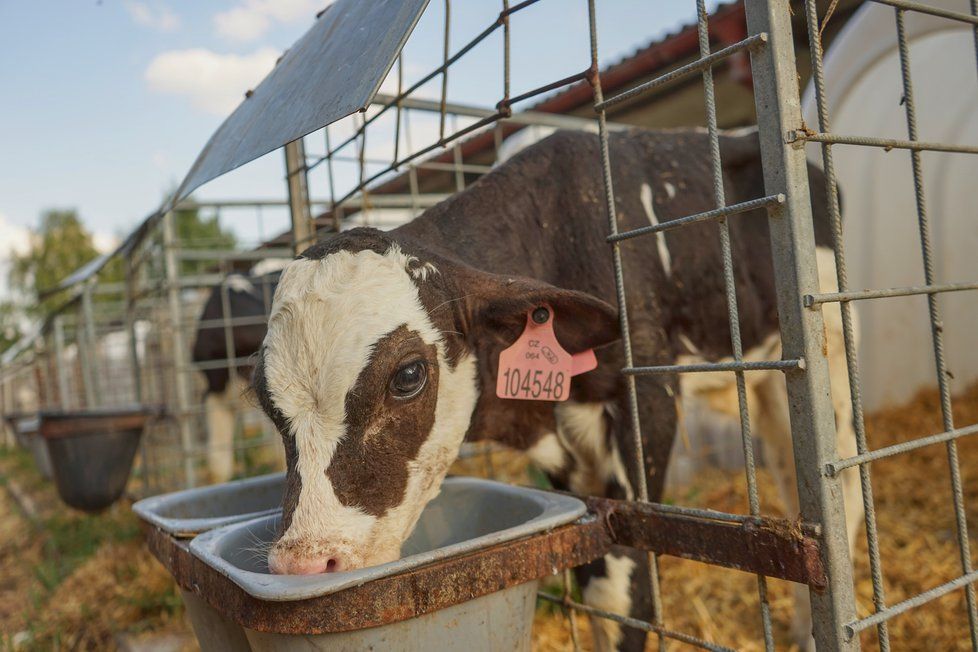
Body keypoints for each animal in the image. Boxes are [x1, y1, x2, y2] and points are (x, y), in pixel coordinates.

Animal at [250, 129, 856, 652]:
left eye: (407, 376)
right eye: (264, 400)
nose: (304, 563)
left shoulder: (647, 403)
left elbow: (621, 592)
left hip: (825, 347)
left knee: (839, 478)